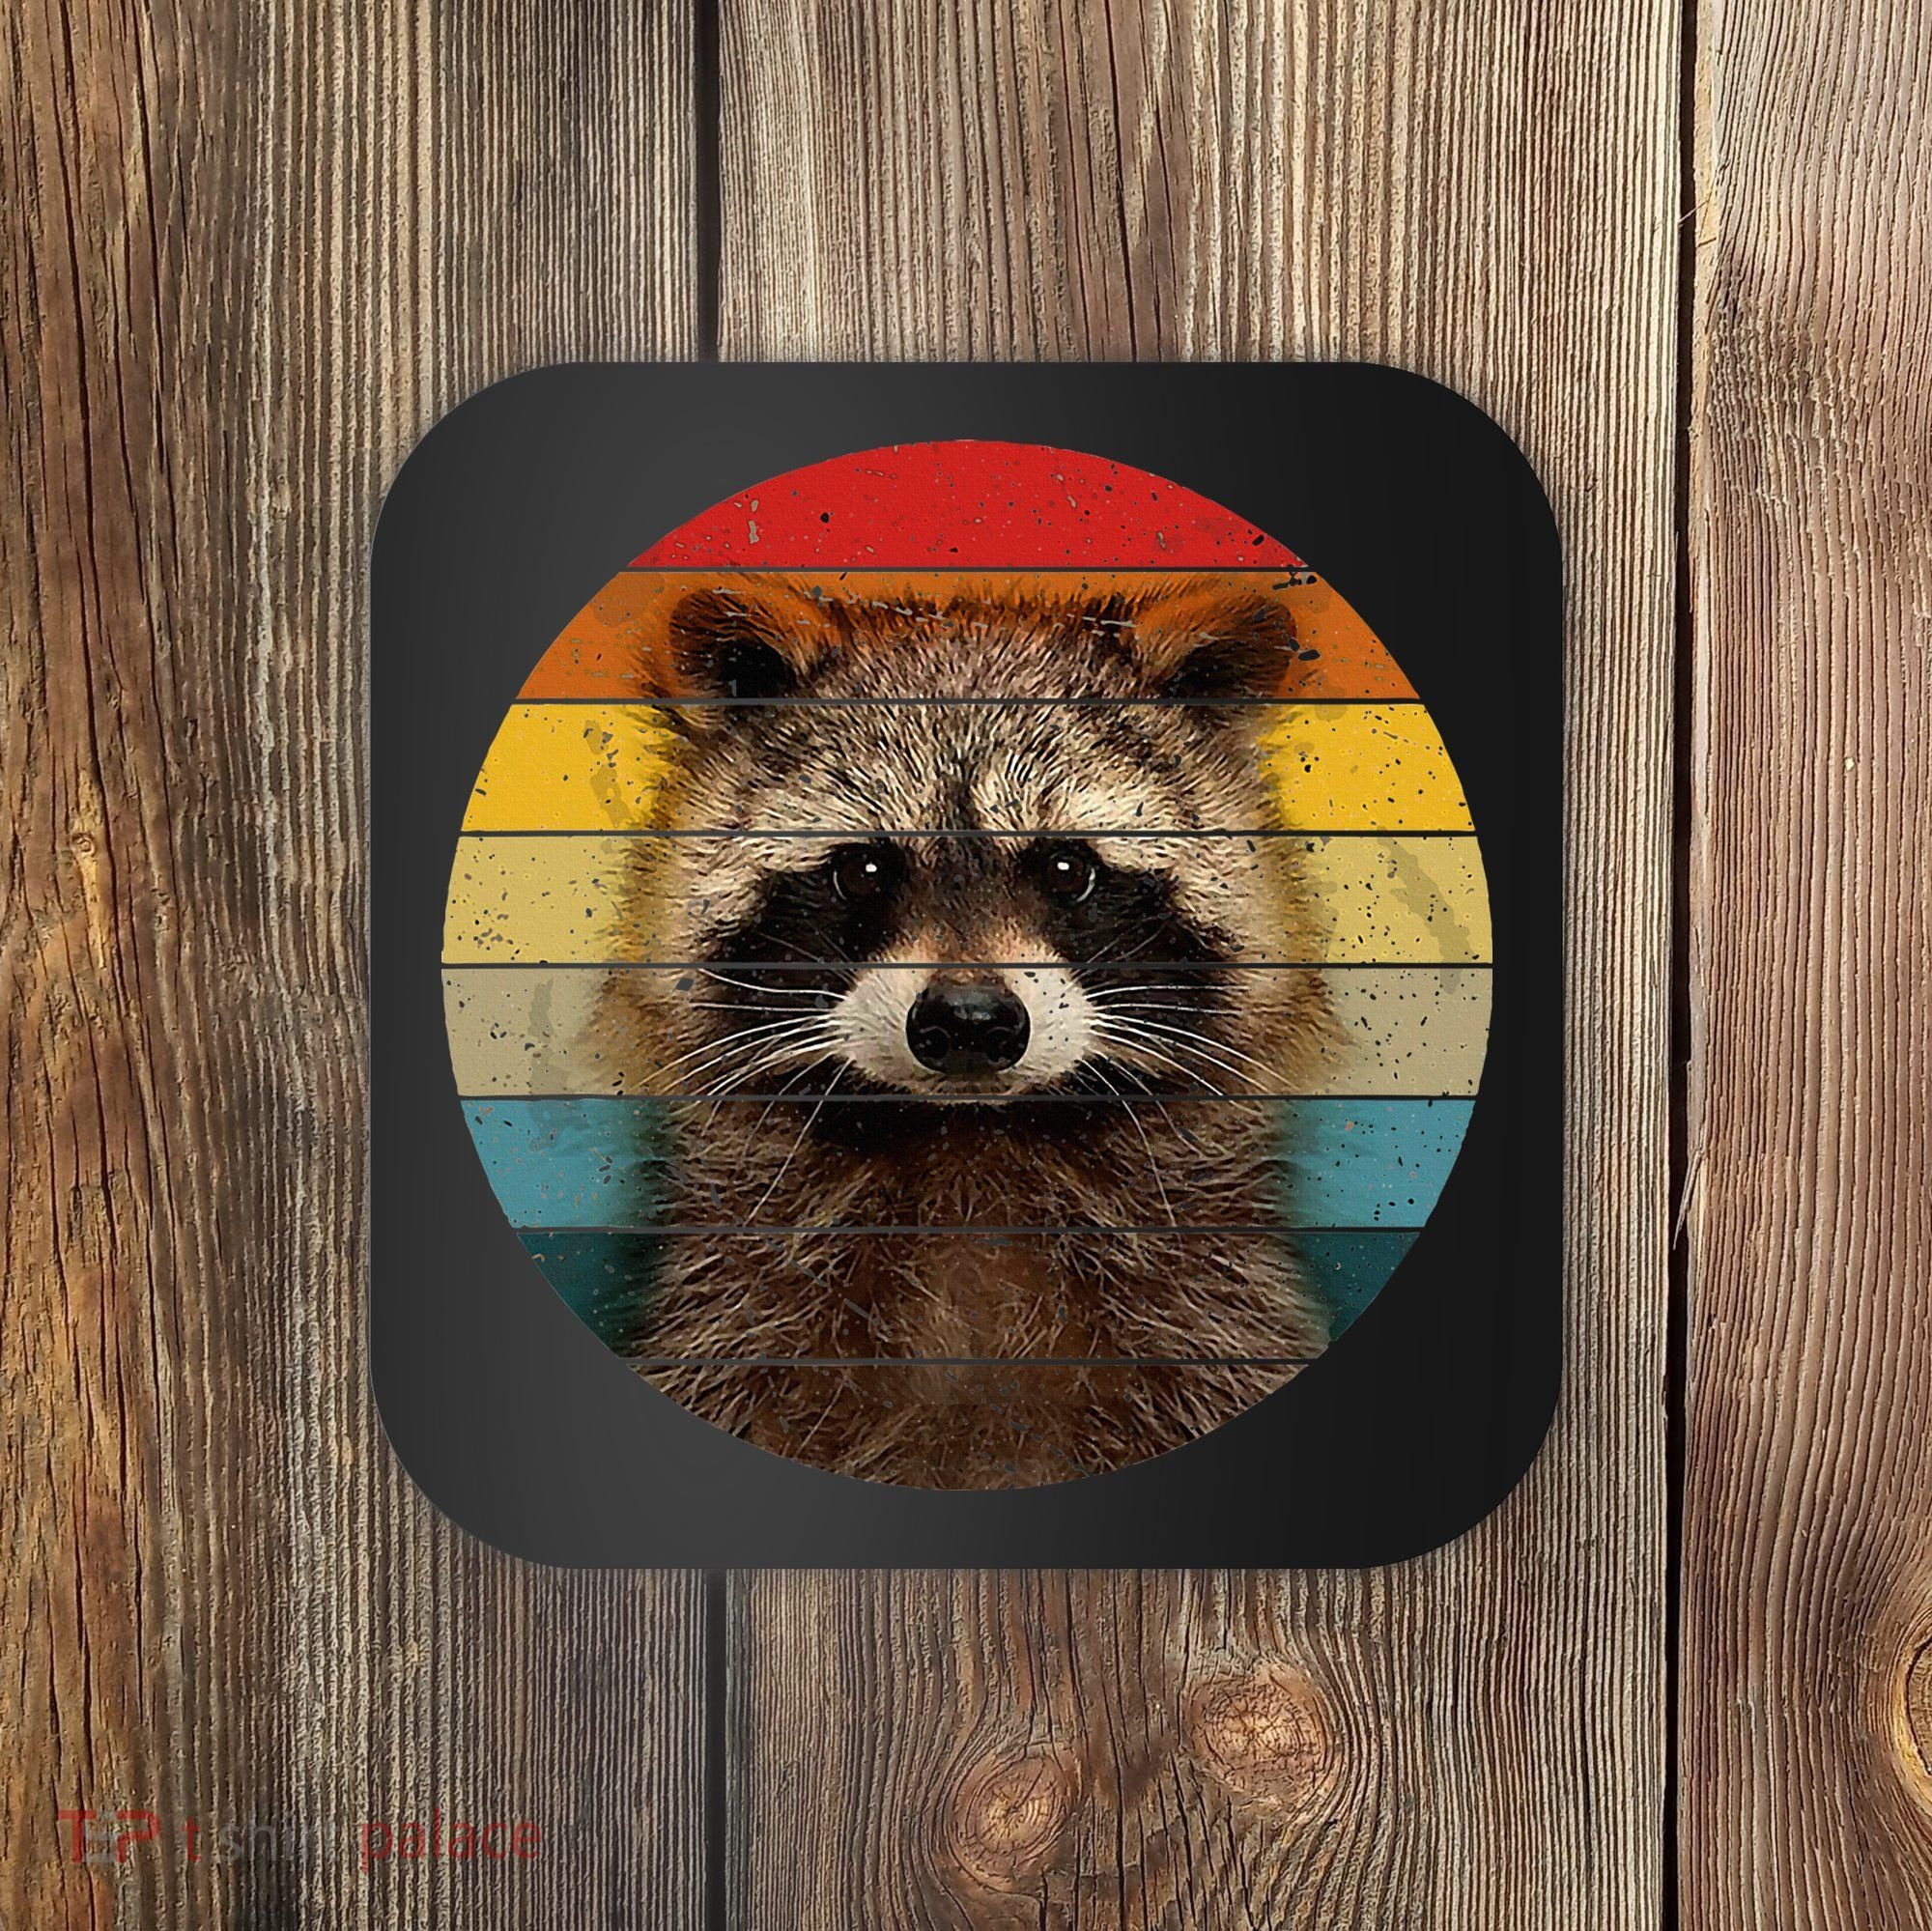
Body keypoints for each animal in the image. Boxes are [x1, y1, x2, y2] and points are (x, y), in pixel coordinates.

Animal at [592, 577, 1336, 1488]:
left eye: (1067, 867)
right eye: (864, 869)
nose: (970, 1021)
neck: (970, 1144)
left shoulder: (1213, 1319)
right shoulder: (733, 1324)